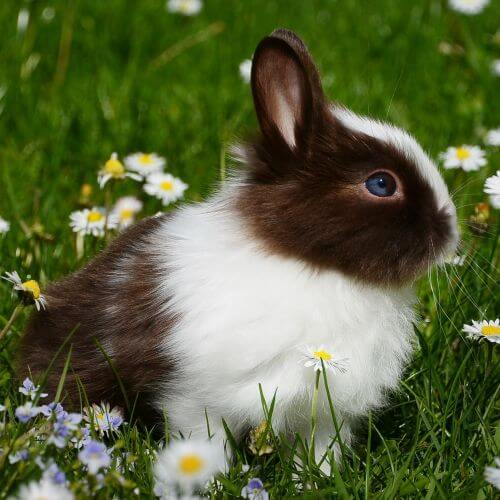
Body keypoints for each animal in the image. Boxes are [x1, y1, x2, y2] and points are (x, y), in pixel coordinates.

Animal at [18, 29, 458, 466]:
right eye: (381, 184)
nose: (451, 233)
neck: (311, 265)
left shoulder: (323, 413)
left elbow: (317, 453)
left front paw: (316, 477)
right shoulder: (196, 398)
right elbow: (204, 442)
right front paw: (208, 476)